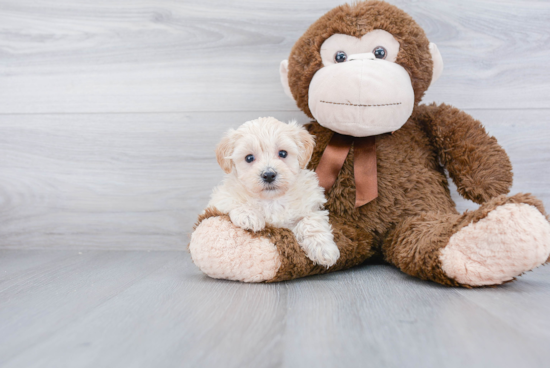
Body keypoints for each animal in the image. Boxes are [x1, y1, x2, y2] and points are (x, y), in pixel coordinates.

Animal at [207, 117, 340, 268]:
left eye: (283, 153)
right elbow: (233, 201)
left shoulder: (311, 207)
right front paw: (248, 215)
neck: (272, 200)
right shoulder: (219, 200)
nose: (269, 175)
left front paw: (323, 249)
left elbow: (311, 223)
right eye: (249, 158)